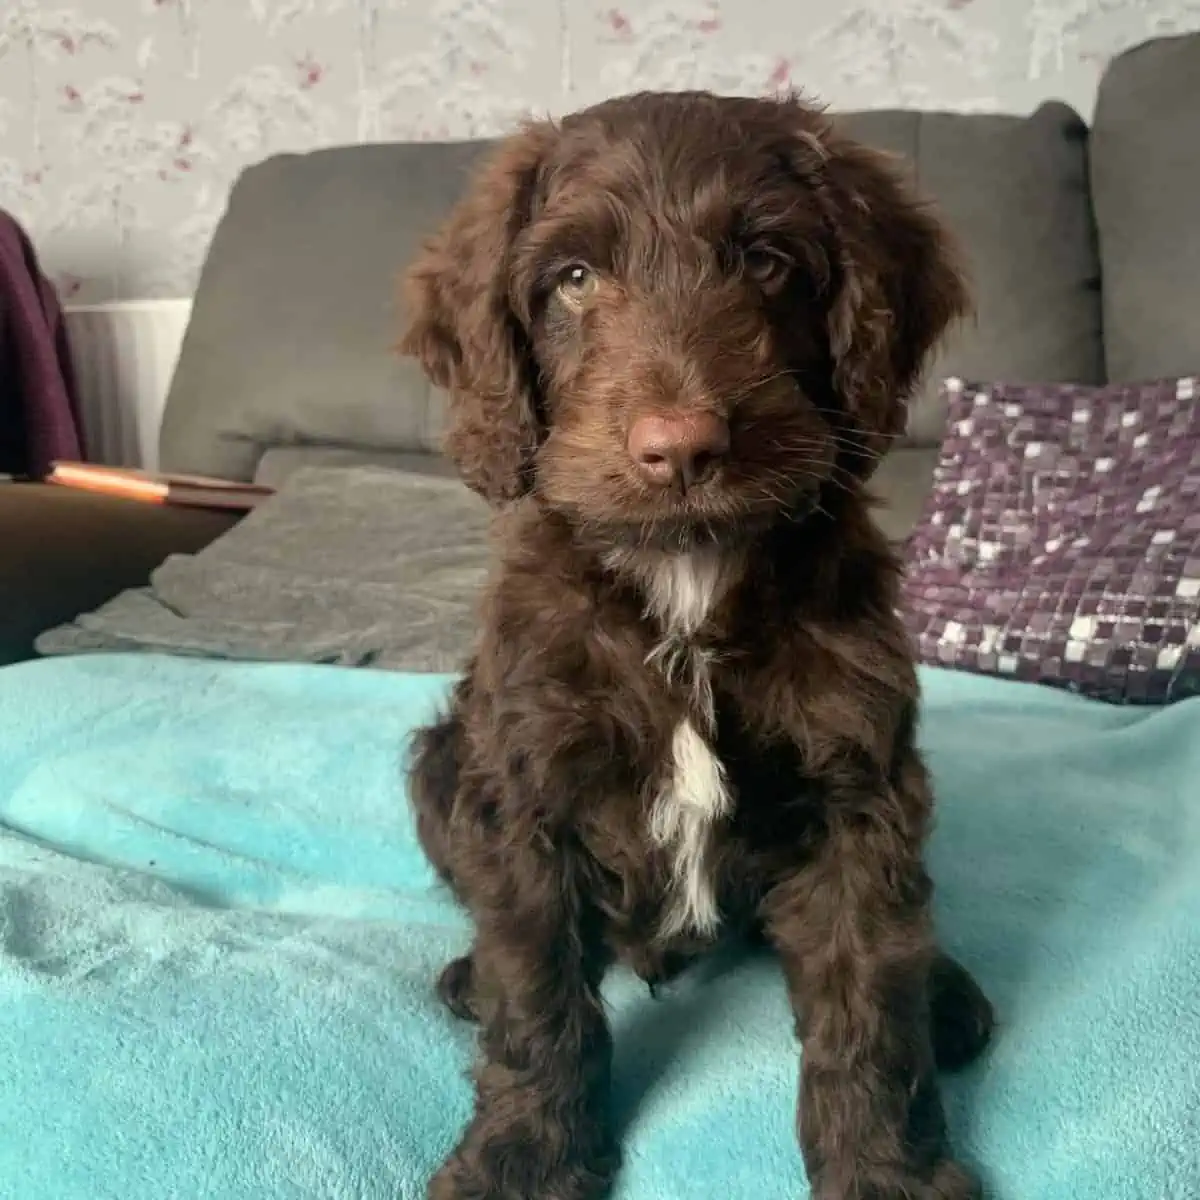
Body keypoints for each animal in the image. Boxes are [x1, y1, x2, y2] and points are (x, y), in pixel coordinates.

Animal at [403, 88, 993, 1195]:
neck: (686, 578)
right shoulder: (524, 784)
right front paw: (522, 1157)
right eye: (574, 279)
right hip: (441, 758)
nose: (679, 450)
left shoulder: (857, 787)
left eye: (765, 261)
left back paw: (945, 991)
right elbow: (535, 989)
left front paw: (885, 1171)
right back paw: (464, 975)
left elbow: (868, 1001)